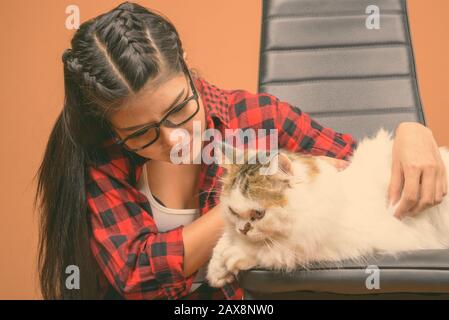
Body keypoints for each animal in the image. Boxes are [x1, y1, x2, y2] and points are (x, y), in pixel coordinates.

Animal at [206, 127, 448, 288]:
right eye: (232, 212)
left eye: (258, 214)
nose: (243, 229)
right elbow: (222, 242)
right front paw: (216, 270)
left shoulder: (331, 242)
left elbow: (272, 250)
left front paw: (236, 254)